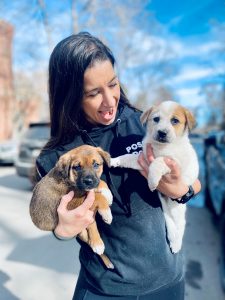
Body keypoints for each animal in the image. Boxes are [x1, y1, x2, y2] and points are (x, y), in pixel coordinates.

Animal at [110, 101, 199, 253]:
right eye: (156, 119)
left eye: (175, 121)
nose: (162, 132)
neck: (160, 147)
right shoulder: (142, 159)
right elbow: (126, 157)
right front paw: (113, 160)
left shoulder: (174, 163)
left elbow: (158, 162)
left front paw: (152, 180)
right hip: (166, 207)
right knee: (170, 223)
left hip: (177, 209)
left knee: (180, 224)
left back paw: (176, 244)